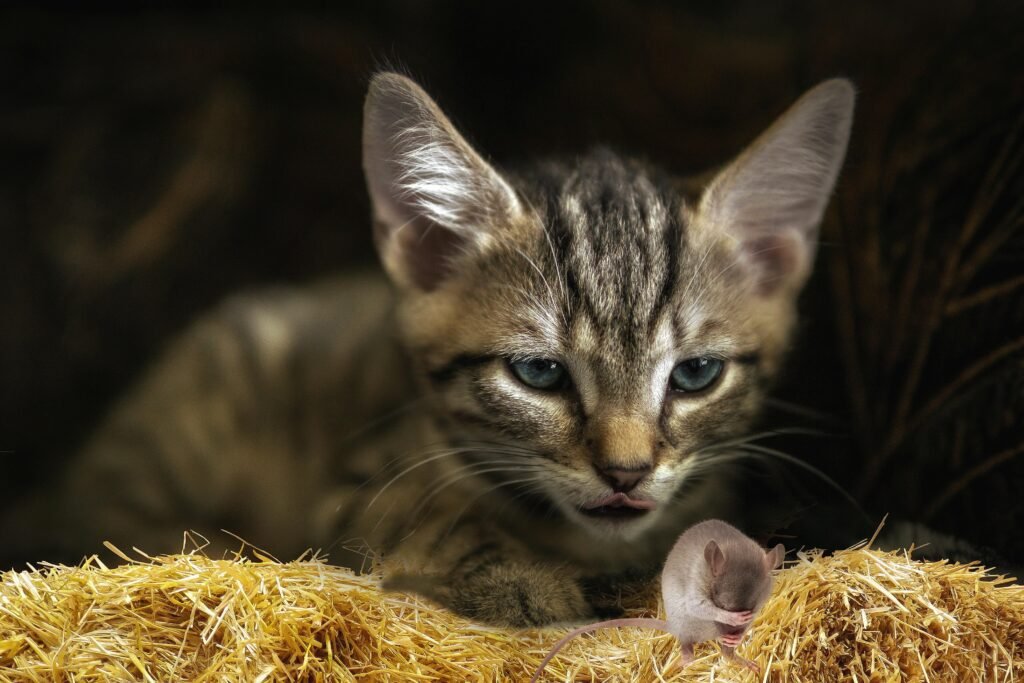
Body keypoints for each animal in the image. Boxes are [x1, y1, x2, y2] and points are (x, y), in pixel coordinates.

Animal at [24, 73, 856, 626]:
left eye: (696, 373)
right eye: (537, 372)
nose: (626, 472)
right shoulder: (361, 483)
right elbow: (433, 517)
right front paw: (514, 576)